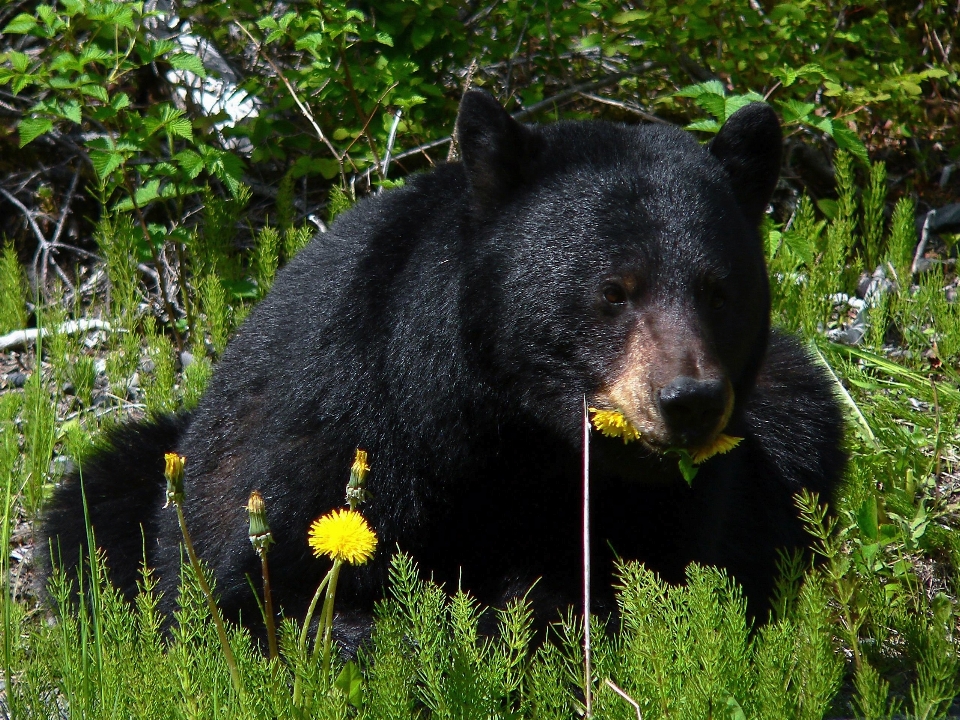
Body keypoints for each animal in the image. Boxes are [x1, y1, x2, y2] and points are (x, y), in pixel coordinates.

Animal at [43, 91, 840, 636]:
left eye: (719, 290)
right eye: (614, 291)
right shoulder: (334, 422)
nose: (689, 400)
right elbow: (254, 588)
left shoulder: (671, 502)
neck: (510, 432)